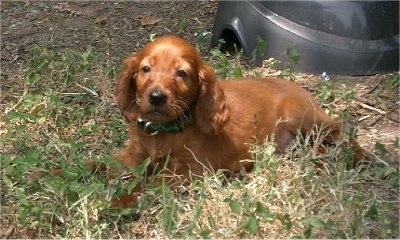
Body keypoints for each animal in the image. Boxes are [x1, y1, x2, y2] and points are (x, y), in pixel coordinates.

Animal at [111, 35, 362, 208]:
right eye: (145, 69)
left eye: (181, 73)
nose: (156, 97)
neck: (162, 131)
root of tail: (303, 90)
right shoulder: (133, 154)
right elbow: (111, 165)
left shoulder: (191, 170)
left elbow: (153, 184)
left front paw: (122, 200)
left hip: (303, 117)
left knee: (341, 130)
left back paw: (358, 156)